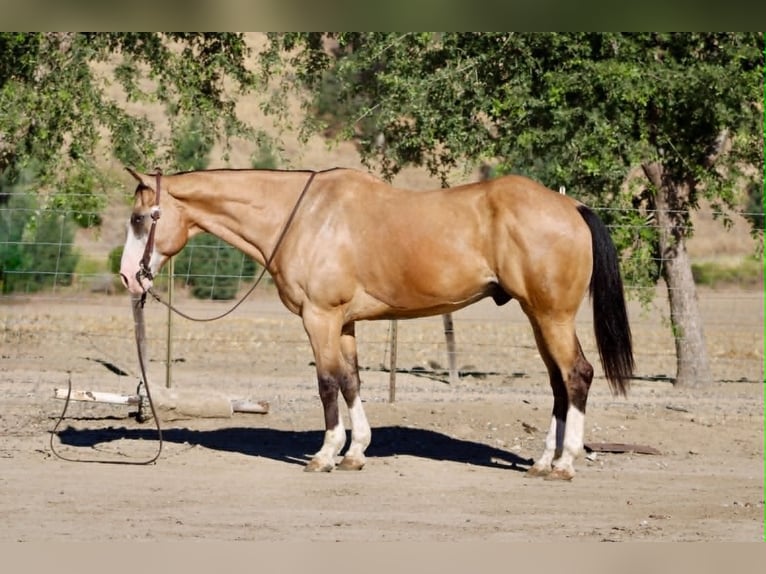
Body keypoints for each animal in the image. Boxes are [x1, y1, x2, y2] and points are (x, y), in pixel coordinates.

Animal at [119, 166, 634, 480]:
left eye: (141, 218)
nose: (128, 276)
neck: (304, 217)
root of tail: (571, 208)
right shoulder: (343, 323)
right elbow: (351, 381)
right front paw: (354, 452)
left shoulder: (319, 317)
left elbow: (327, 383)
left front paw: (324, 455)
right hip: (537, 316)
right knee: (558, 384)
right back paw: (544, 460)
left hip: (552, 316)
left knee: (577, 375)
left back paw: (564, 464)